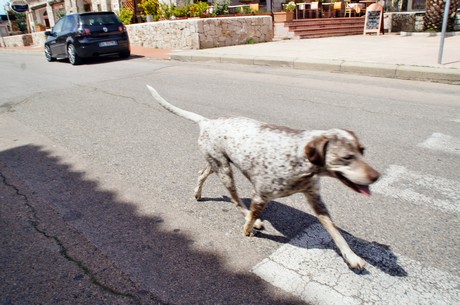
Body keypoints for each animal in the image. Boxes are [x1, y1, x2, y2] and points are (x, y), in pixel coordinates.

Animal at [148, 85, 380, 268]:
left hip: (216, 163)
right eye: (347, 157)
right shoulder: (260, 197)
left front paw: (351, 257)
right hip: (225, 171)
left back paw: (198, 193)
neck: (298, 156)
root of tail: (207, 122)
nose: (376, 176)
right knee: (236, 200)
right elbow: (251, 216)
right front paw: (248, 228)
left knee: (202, 174)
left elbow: (335, 232)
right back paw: (249, 218)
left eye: (362, 150)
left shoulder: (316, 199)